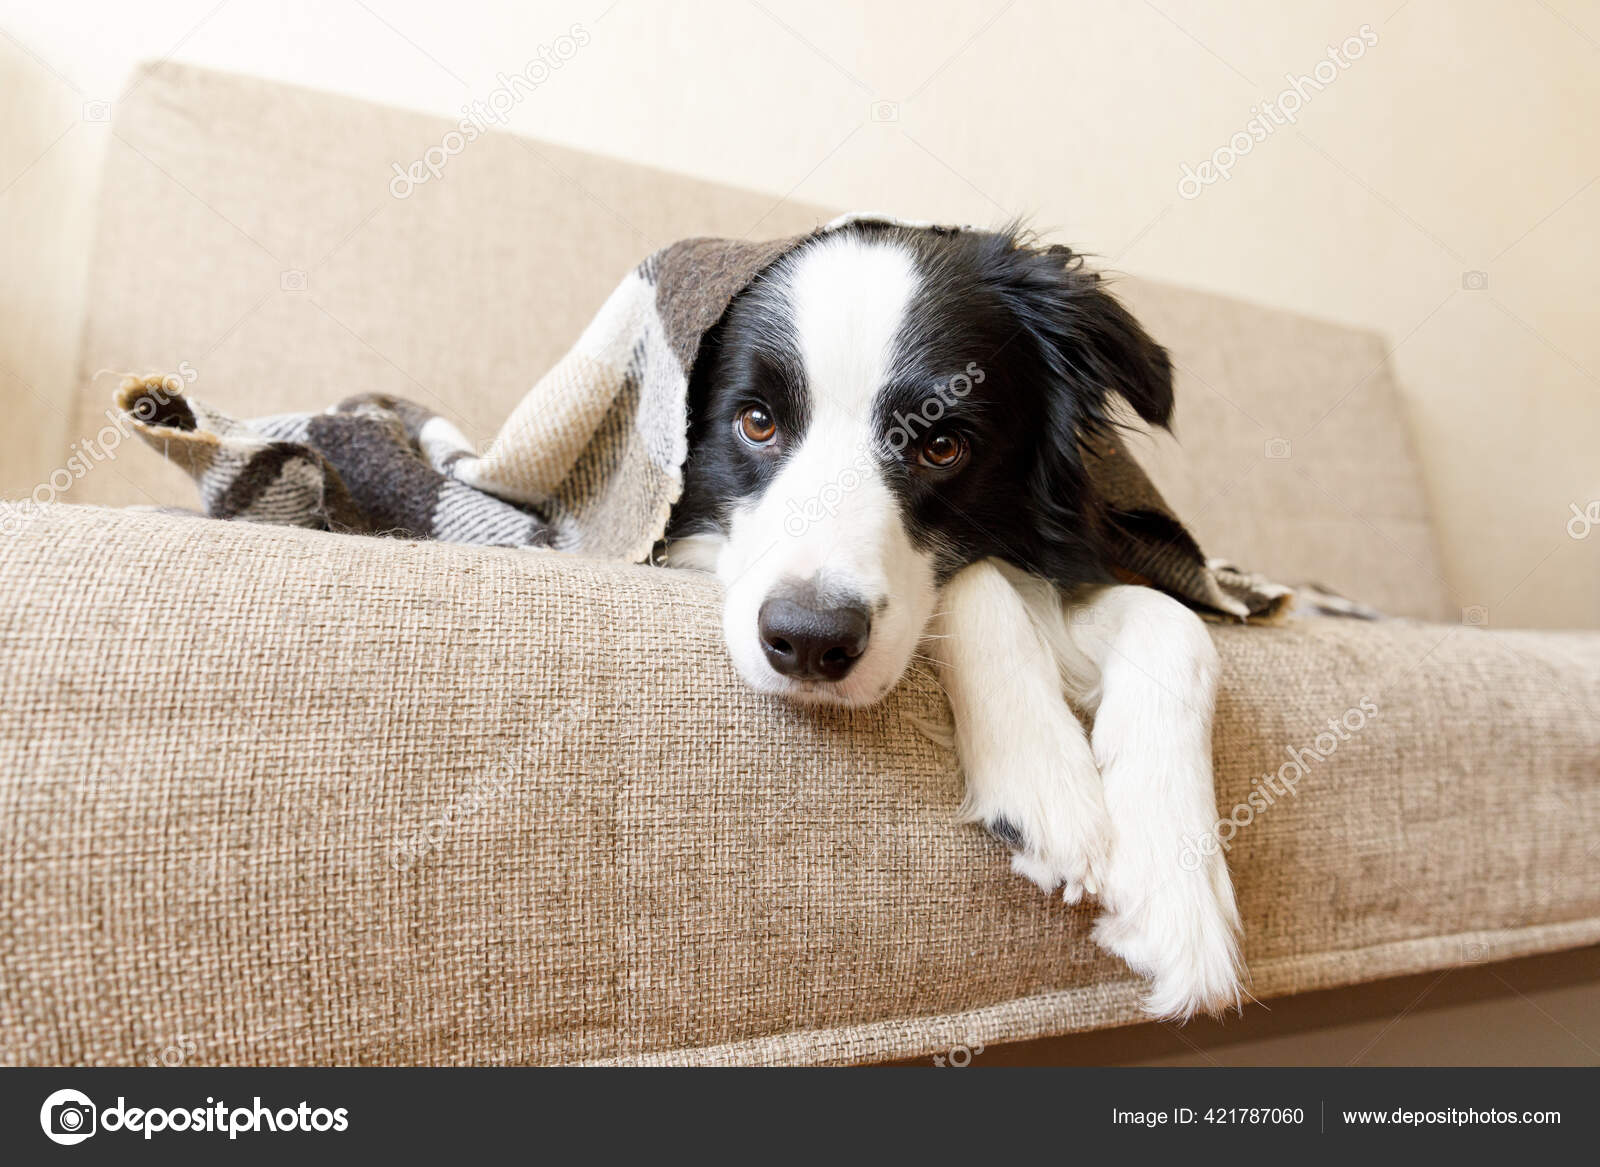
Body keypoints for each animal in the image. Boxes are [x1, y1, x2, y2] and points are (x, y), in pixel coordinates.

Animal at [662, 220, 1248, 1018]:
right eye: (756, 422)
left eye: (942, 445)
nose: (809, 641)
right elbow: (978, 579)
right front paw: (1043, 778)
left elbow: (1179, 626)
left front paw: (1177, 887)